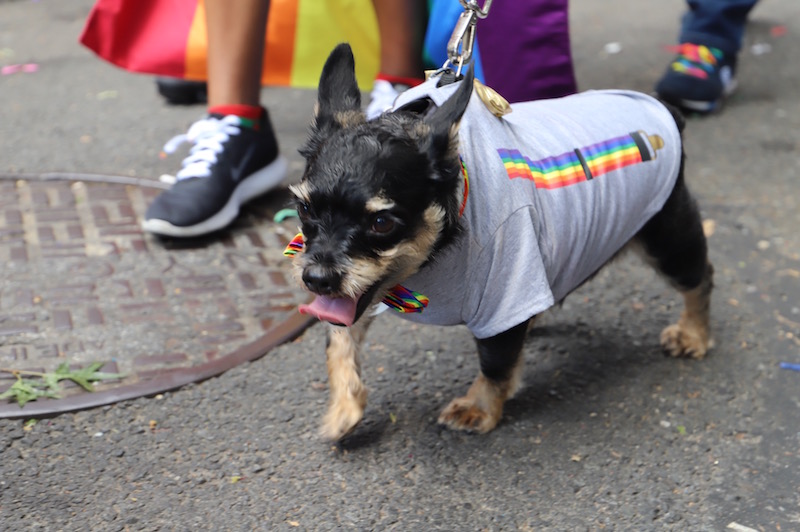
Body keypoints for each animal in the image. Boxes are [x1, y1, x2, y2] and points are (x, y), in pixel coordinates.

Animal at [288, 43, 712, 440]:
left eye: (381, 222)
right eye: (304, 208)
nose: (317, 279)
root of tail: (662, 111)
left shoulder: (507, 292)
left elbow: (494, 362)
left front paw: (479, 407)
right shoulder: (356, 296)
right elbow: (339, 339)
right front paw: (344, 409)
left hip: (667, 235)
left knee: (699, 276)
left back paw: (693, 333)